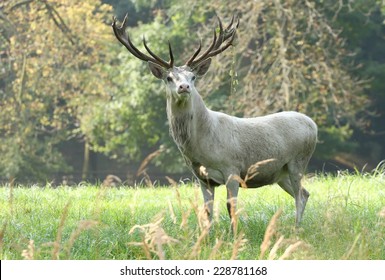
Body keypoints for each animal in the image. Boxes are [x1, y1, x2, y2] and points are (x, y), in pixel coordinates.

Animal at [112, 14, 316, 231]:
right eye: (169, 78)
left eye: (193, 76)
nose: (184, 87)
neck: (202, 145)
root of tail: (313, 124)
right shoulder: (202, 178)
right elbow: (206, 211)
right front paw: (206, 236)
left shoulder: (232, 168)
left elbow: (231, 208)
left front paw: (234, 235)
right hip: (280, 173)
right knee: (305, 193)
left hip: (298, 161)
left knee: (300, 196)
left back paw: (296, 229)